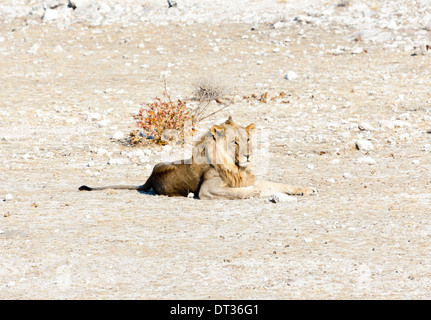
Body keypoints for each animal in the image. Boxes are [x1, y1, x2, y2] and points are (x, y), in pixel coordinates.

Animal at [80, 116, 318, 199]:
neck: (236, 167)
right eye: (235, 142)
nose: (248, 156)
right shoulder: (206, 191)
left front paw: (306, 189)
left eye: (248, 139)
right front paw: (252, 192)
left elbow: (279, 184)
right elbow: (238, 192)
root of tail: (149, 178)